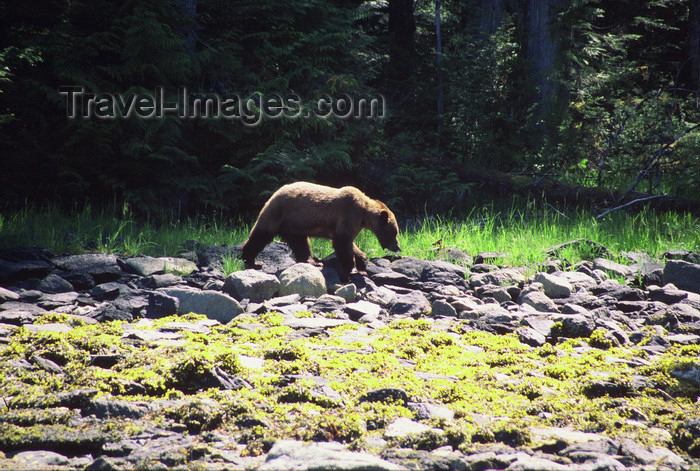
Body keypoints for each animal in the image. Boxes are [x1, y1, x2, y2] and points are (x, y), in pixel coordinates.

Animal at [243, 183, 402, 282]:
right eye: (394, 232)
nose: (397, 247)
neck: (363, 214)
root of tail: (273, 194)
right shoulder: (347, 214)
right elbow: (342, 242)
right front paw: (352, 269)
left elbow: (349, 243)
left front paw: (362, 262)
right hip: (280, 214)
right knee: (261, 235)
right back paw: (252, 261)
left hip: (294, 224)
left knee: (300, 242)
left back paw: (312, 261)